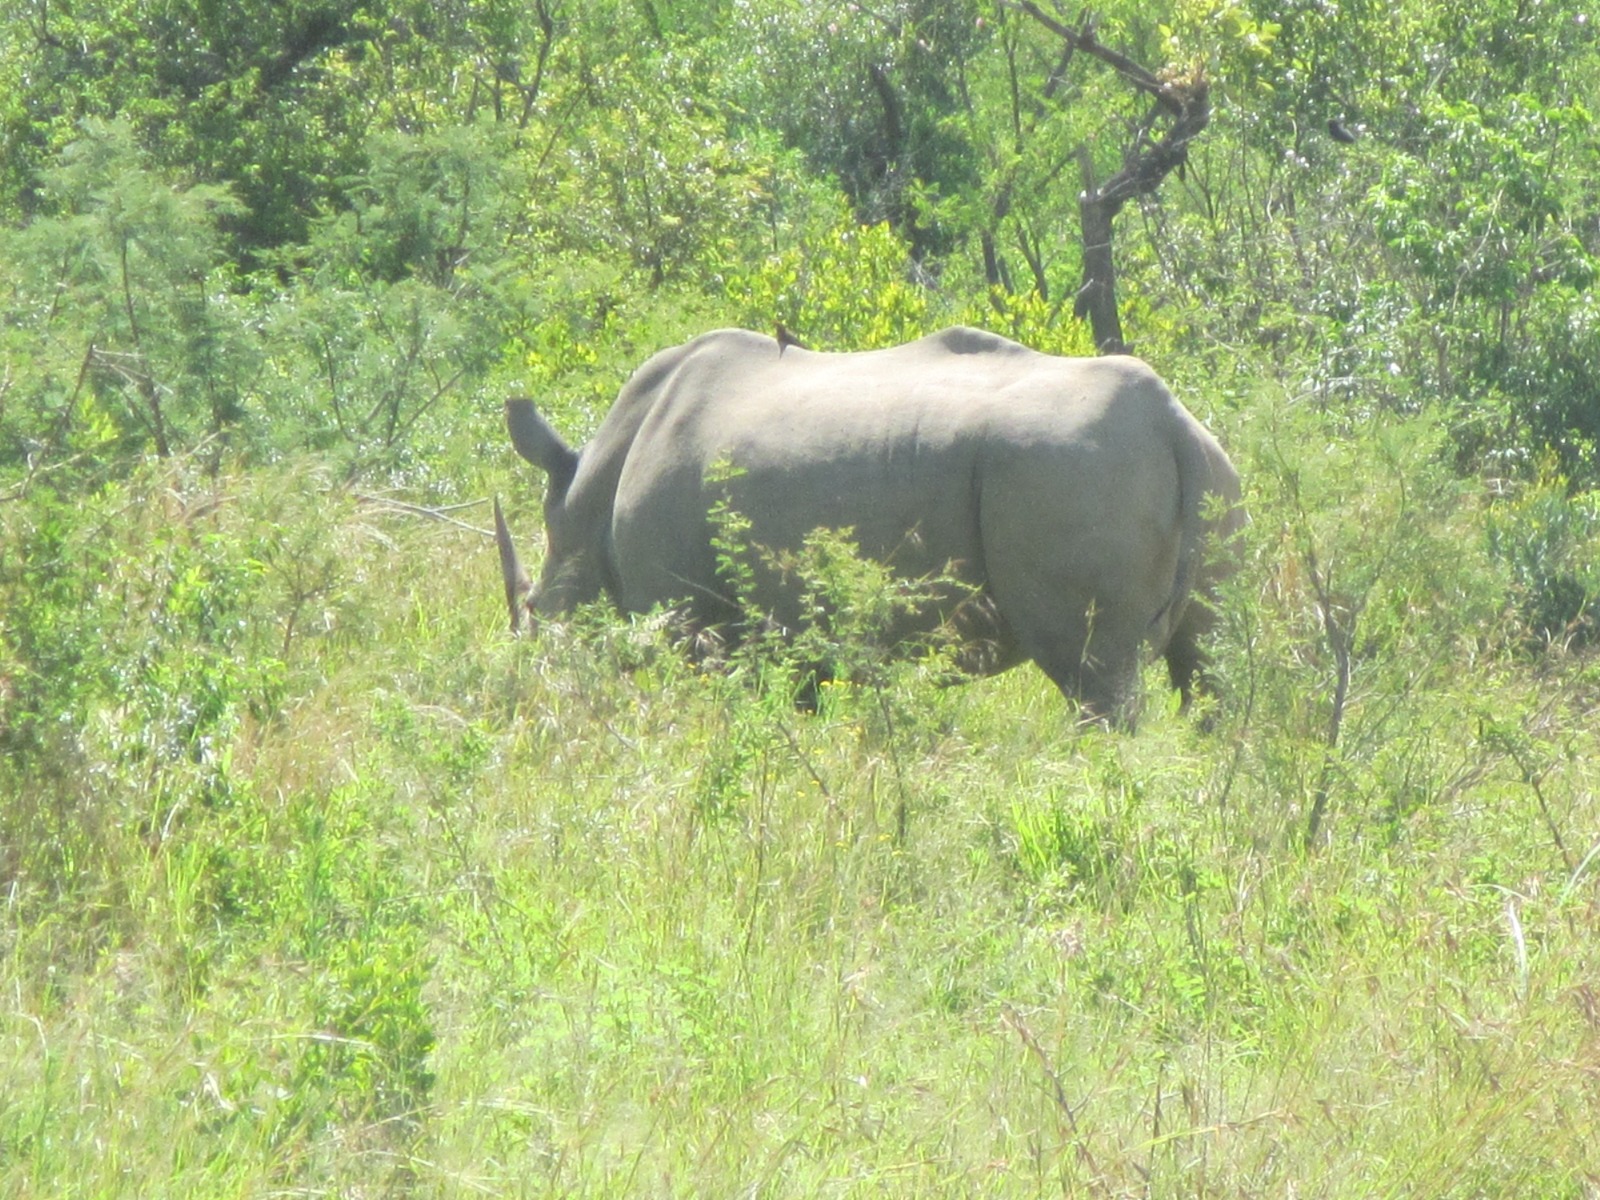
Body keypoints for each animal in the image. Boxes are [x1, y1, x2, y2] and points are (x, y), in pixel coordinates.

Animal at [495, 326, 1243, 726]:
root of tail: (1172, 423)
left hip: (1068, 472)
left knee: (1097, 683)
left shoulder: (681, 611)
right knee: (1212, 667)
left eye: (532, 611)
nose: (535, 688)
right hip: (1214, 476)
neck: (588, 503)